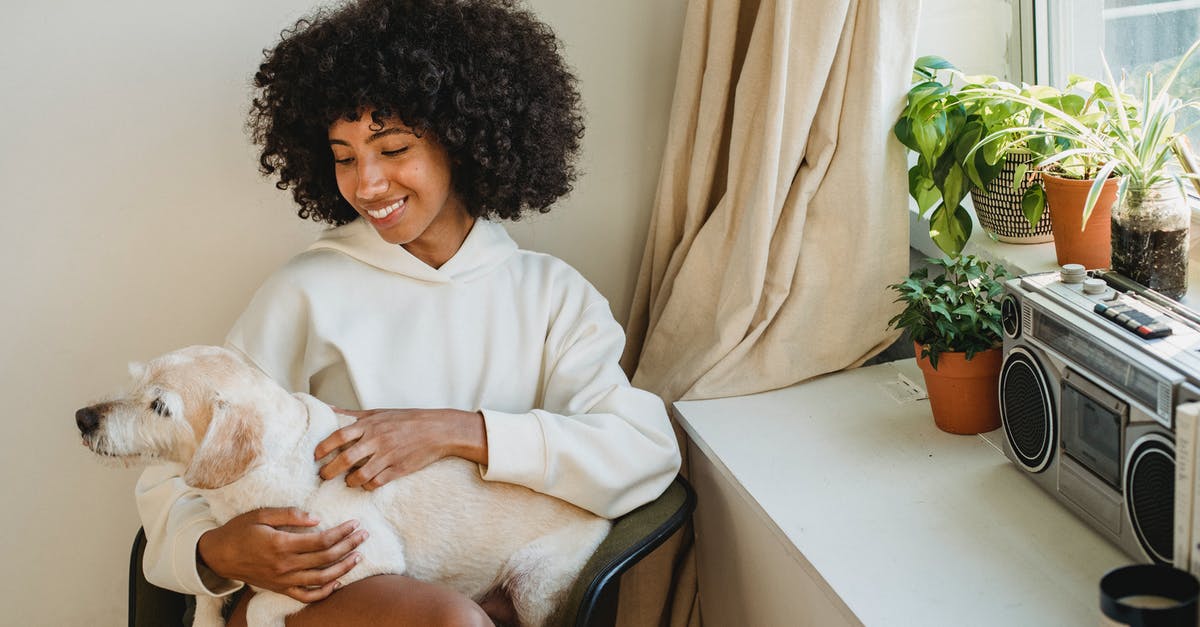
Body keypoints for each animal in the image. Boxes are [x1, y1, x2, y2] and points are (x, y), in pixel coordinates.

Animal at [77, 341, 609, 624]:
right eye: (135, 383)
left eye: (160, 407)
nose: (82, 417)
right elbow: (209, 598)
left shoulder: (363, 559)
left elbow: (261, 604)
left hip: (535, 584)